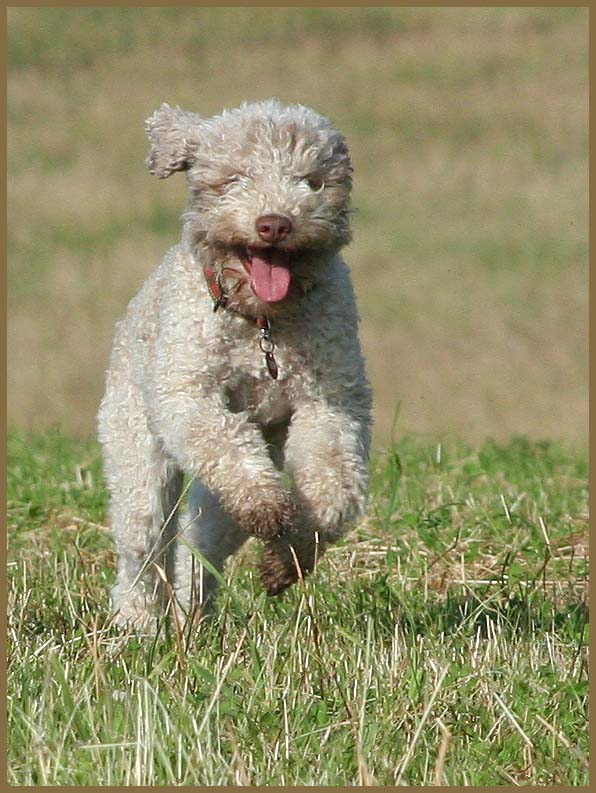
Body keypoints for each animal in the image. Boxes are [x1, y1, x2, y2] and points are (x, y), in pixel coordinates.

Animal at [96, 99, 372, 628]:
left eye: (311, 181)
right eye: (234, 179)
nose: (274, 223)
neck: (261, 323)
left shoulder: (330, 402)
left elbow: (335, 489)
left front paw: (286, 559)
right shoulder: (187, 394)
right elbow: (223, 439)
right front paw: (267, 506)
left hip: (218, 501)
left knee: (200, 545)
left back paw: (193, 615)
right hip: (135, 447)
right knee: (143, 546)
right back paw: (139, 622)